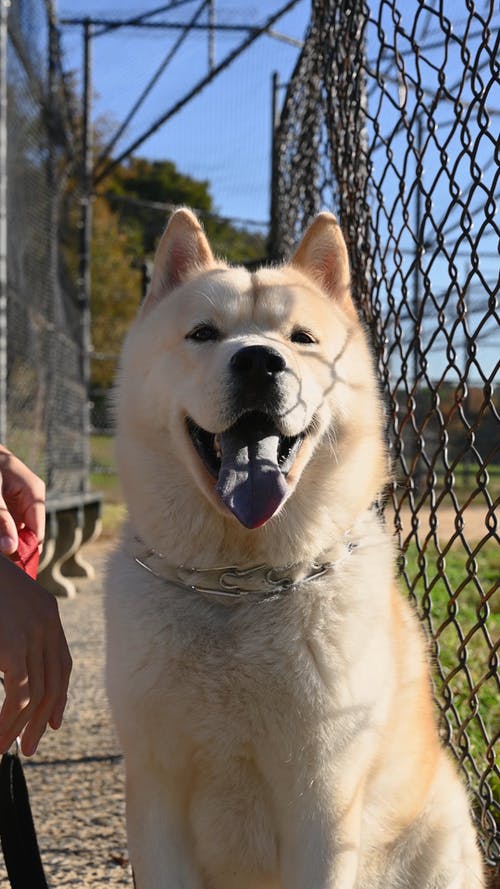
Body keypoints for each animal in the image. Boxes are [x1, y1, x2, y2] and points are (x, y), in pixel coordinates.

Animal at [105, 210, 484, 888]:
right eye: (203, 333)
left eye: (302, 337)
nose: (259, 360)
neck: (239, 580)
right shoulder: (155, 796)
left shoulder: (322, 803)